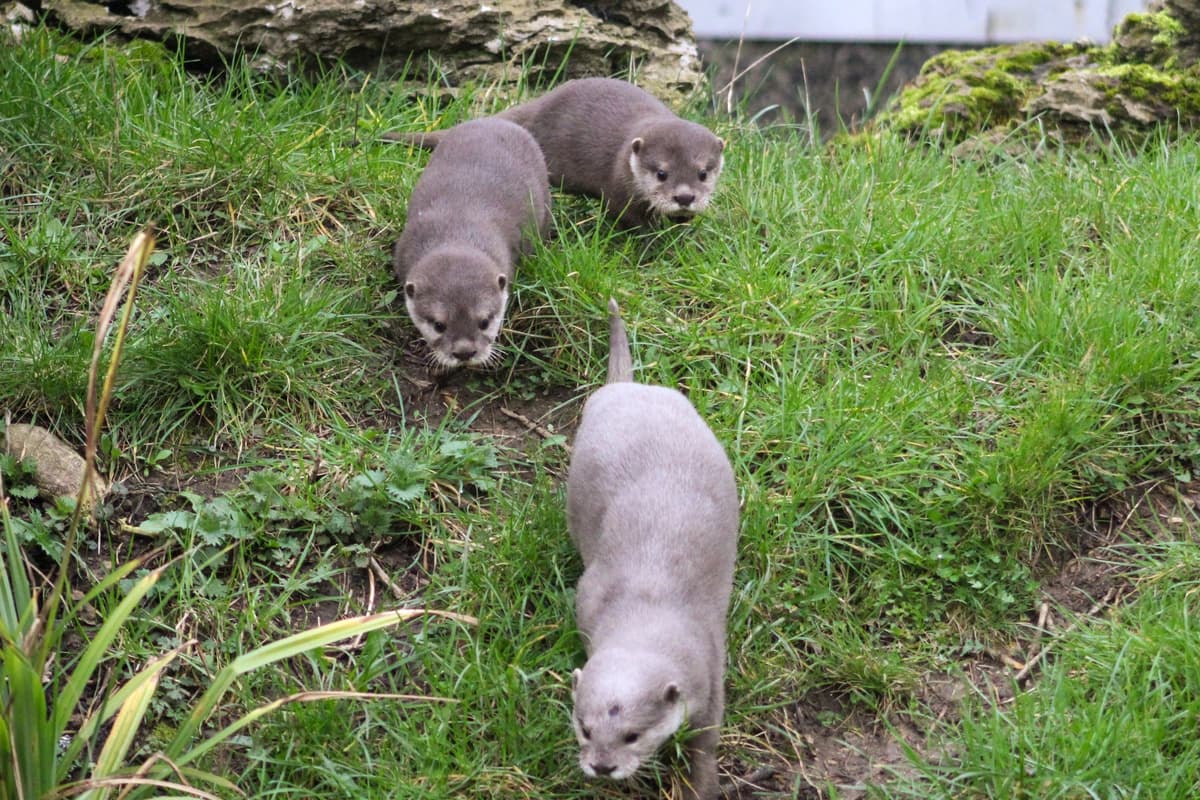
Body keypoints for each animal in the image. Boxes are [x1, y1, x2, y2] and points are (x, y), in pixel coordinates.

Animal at [383, 78, 725, 228]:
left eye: (703, 173)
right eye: (661, 173)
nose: (684, 197)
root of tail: (539, 103)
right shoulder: (618, 185)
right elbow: (628, 218)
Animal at [564, 298, 740, 800]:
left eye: (632, 735)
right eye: (585, 728)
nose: (602, 766)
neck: (650, 606)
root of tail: (625, 388)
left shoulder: (712, 668)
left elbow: (707, 741)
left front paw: (704, 786)